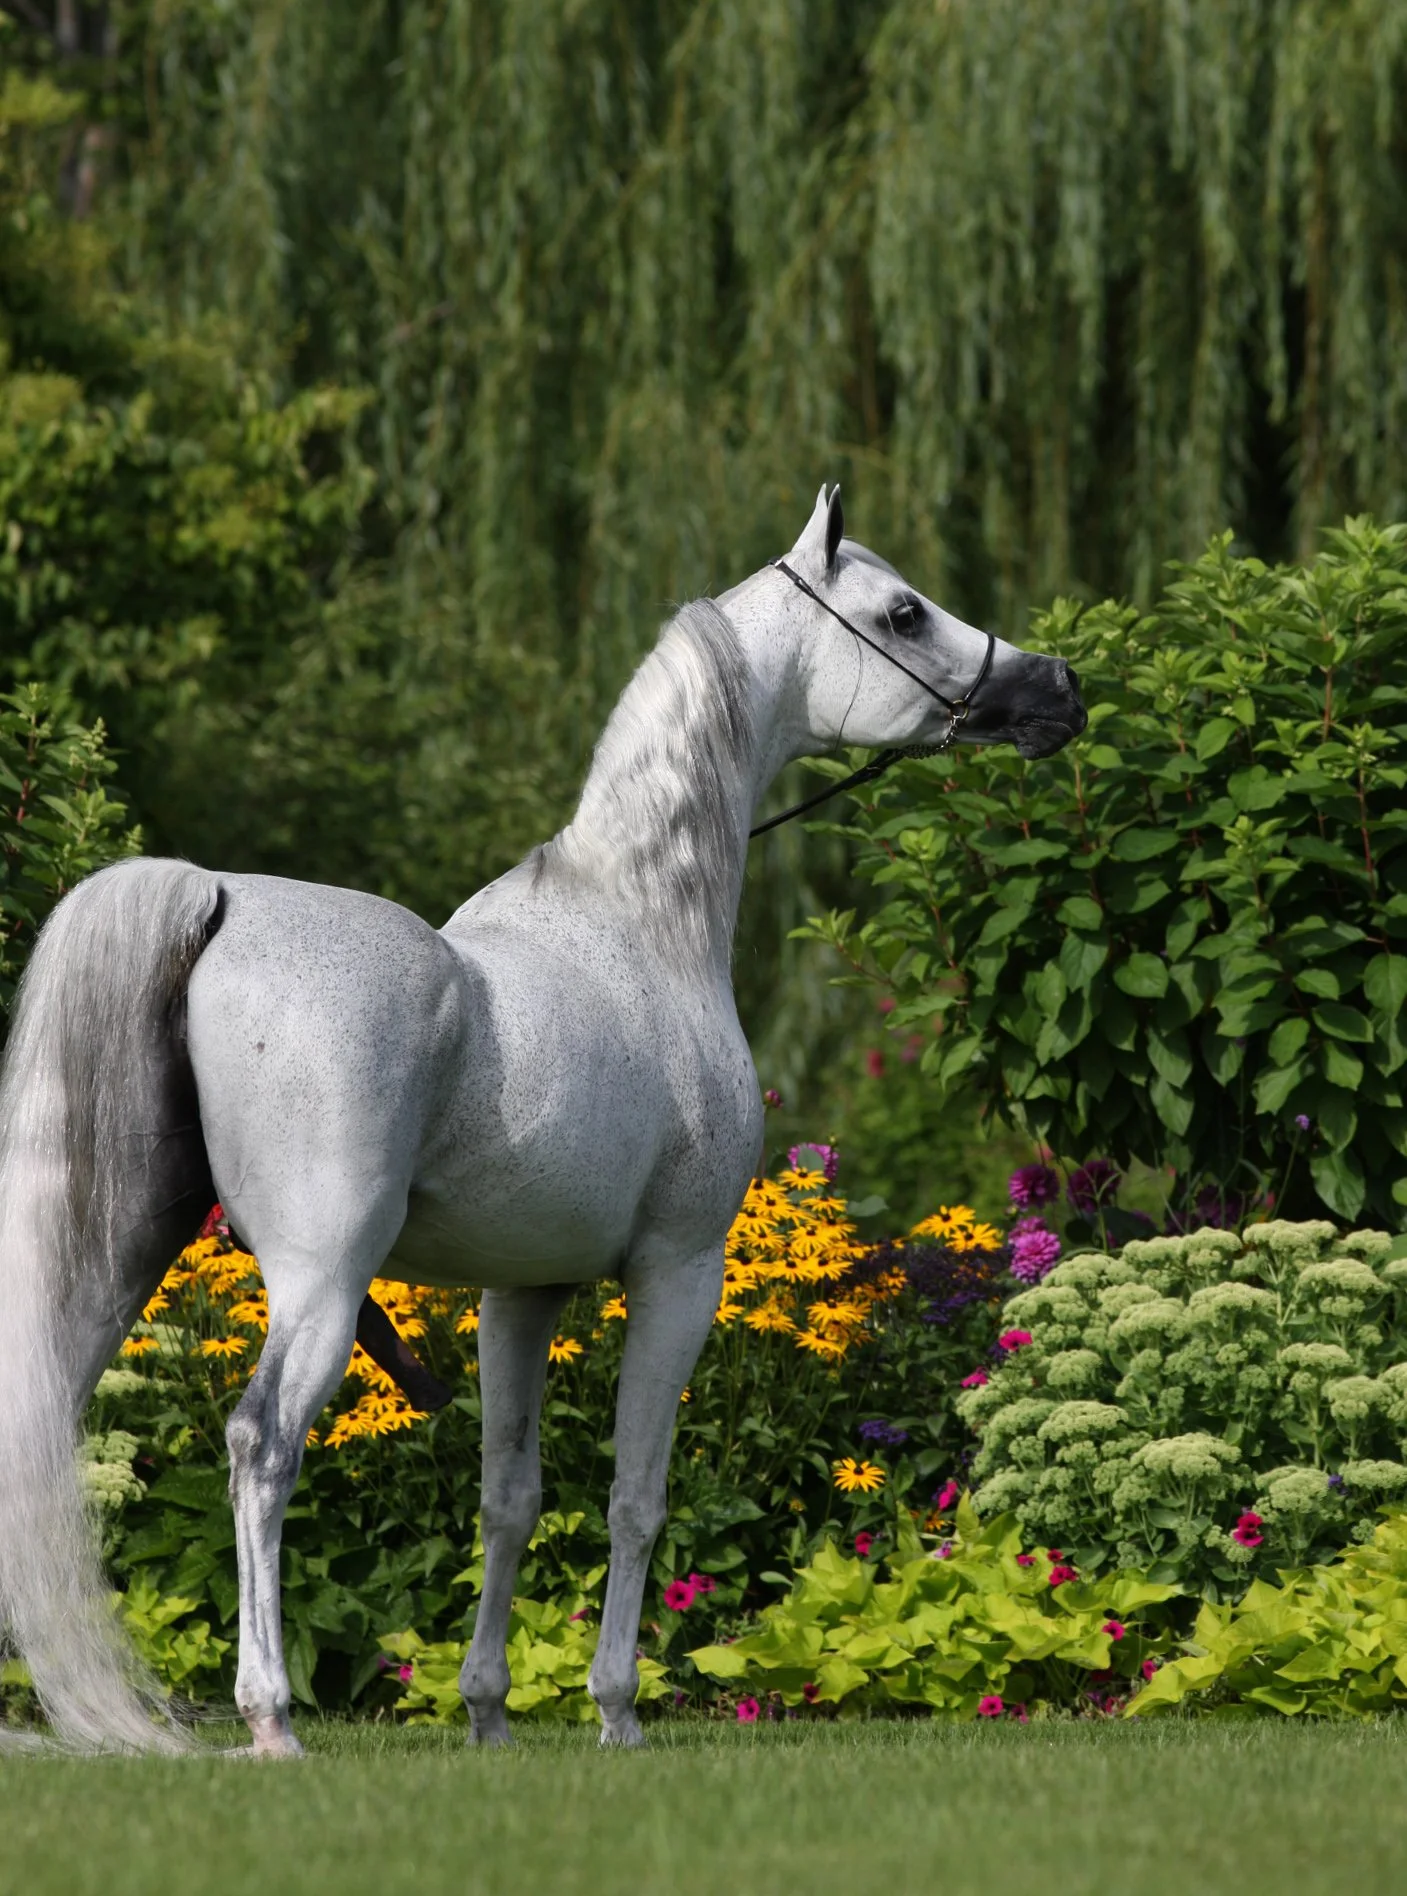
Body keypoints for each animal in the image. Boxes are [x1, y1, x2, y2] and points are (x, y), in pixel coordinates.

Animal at [0, 486, 1085, 1755]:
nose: (1057, 687)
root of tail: (214, 906)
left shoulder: (521, 1296)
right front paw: (616, 1711)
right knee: (262, 1446)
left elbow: (508, 1500)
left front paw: (488, 1714)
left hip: (119, 1257)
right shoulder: (678, 1274)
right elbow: (634, 1498)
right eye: (905, 611)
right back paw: (270, 1718)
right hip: (321, 1280)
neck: (639, 923)